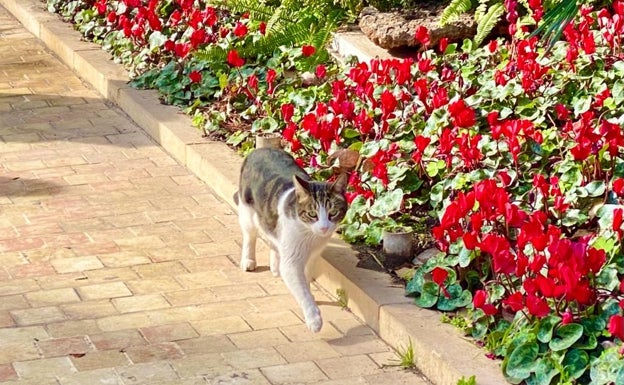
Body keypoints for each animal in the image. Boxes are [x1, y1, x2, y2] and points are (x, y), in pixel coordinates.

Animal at [233, 148, 348, 332]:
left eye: (333, 213)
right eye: (312, 214)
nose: (324, 228)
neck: (310, 236)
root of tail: (259, 149)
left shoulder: (314, 254)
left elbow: (306, 278)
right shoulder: (292, 260)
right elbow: (301, 289)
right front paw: (314, 318)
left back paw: (275, 265)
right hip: (247, 209)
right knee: (250, 234)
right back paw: (249, 260)